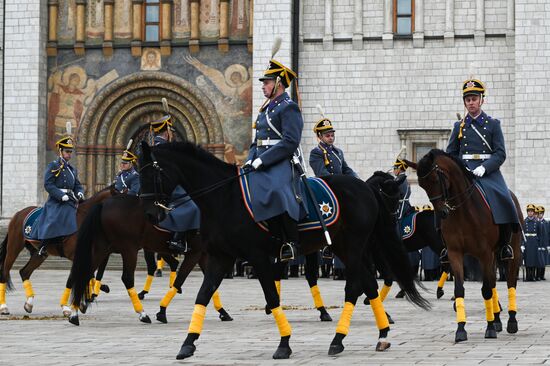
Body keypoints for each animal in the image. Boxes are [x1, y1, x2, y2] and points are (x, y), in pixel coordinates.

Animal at [0, 187, 115, 316]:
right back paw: (4, 307)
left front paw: (87, 299)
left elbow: (88, 276)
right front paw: (75, 305)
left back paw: (29, 303)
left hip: (38, 255)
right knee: (5, 272)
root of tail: (19, 213)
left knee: (24, 272)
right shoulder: (77, 256)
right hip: (13, 248)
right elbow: (82, 277)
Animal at [69, 194, 233, 326]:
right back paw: (142, 314)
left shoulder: (203, 254)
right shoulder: (195, 253)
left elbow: (211, 285)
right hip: (129, 249)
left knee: (85, 272)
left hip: (103, 248)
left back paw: (75, 312)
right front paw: (162, 311)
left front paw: (223, 312)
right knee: (127, 278)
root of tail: (104, 204)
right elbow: (180, 280)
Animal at [138, 142, 432, 360]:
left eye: (151, 173)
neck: (225, 198)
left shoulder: (257, 257)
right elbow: (202, 294)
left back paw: (343, 336)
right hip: (345, 247)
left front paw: (284, 343)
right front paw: (188, 343)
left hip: (353, 247)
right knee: (368, 284)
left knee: (356, 286)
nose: (151, 214)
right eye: (139, 175)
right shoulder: (220, 257)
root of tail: (364, 188)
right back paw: (374, 335)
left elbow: (271, 294)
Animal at [412, 147, 524, 342]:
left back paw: (511, 321)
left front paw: (489, 328)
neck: (463, 211)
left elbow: (486, 290)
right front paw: (461, 329)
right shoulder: (455, 252)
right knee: (494, 283)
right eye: (422, 185)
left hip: (513, 252)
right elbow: (460, 289)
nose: (441, 213)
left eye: (435, 180)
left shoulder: (485, 253)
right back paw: (497, 319)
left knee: (510, 282)